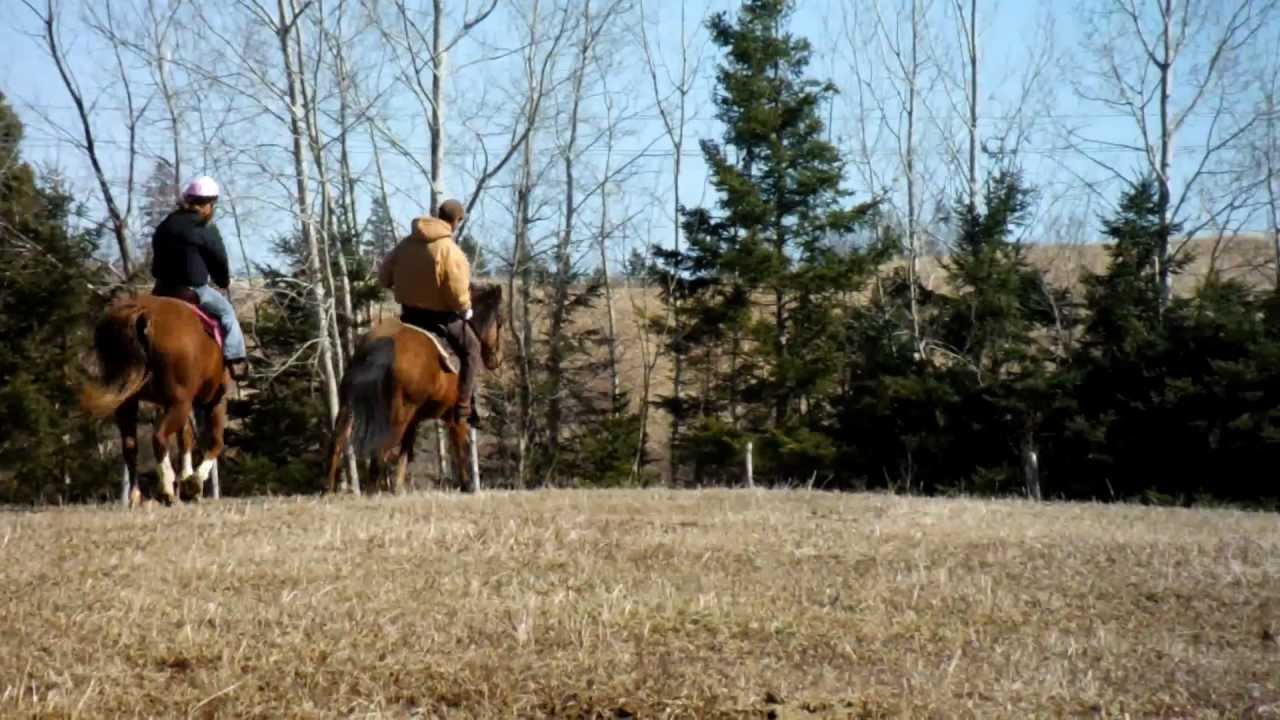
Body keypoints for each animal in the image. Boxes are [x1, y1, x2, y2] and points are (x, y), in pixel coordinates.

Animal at [81, 294, 230, 507]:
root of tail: (142, 313)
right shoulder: (215, 401)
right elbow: (216, 441)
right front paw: (193, 482)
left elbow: (185, 437)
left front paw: (186, 479)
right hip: (179, 403)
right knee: (158, 436)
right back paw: (167, 488)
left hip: (129, 402)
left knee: (130, 446)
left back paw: (136, 494)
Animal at [324, 283, 504, 494]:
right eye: (500, 322)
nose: (496, 360)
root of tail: (381, 345)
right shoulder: (454, 419)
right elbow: (460, 451)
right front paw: (467, 485)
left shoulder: (414, 420)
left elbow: (405, 453)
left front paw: (398, 488)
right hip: (396, 418)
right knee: (379, 450)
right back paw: (372, 491)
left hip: (351, 406)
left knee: (338, 442)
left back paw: (329, 489)